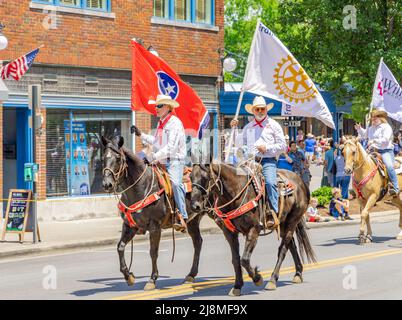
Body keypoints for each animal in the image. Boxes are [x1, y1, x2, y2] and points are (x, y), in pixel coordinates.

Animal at [189, 164, 318, 296]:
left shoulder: (253, 230)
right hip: (283, 224)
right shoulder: (229, 233)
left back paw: (272, 280)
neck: (235, 192)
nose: (195, 206)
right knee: (291, 245)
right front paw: (237, 286)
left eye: (205, 177)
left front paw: (257, 278)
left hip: (292, 222)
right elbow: (236, 260)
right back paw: (298, 273)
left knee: (283, 249)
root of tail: (300, 180)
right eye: (190, 177)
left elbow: (245, 259)